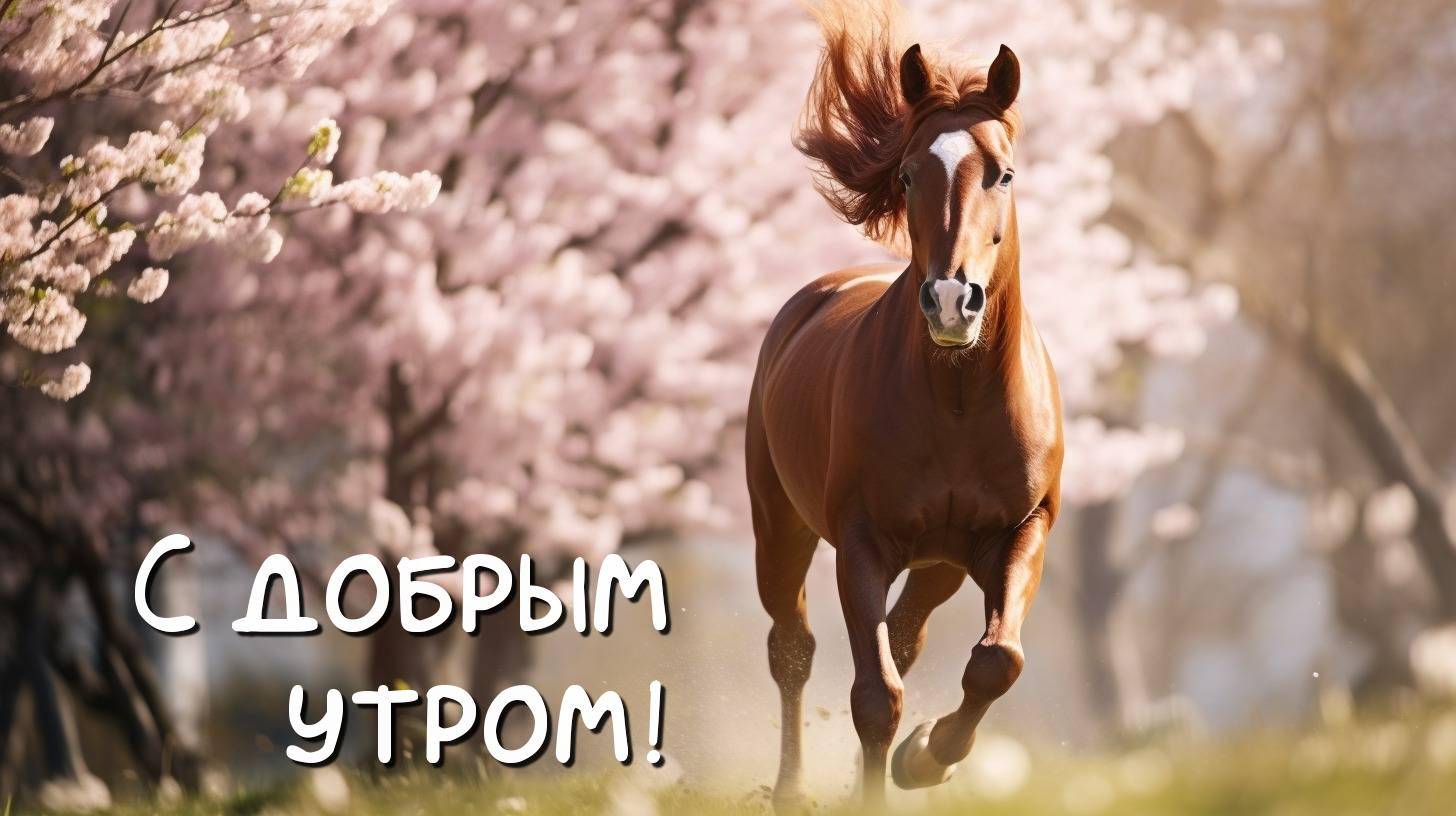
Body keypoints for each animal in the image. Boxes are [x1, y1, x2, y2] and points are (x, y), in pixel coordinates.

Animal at [746, 1, 1064, 807]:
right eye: (911, 171)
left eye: (1003, 172)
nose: (952, 299)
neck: (957, 401)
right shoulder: (860, 542)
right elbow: (873, 695)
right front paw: (881, 782)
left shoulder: (1021, 531)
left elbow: (997, 661)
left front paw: (924, 757)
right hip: (780, 526)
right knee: (792, 649)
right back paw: (791, 789)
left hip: (943, 561)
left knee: (908, 633)